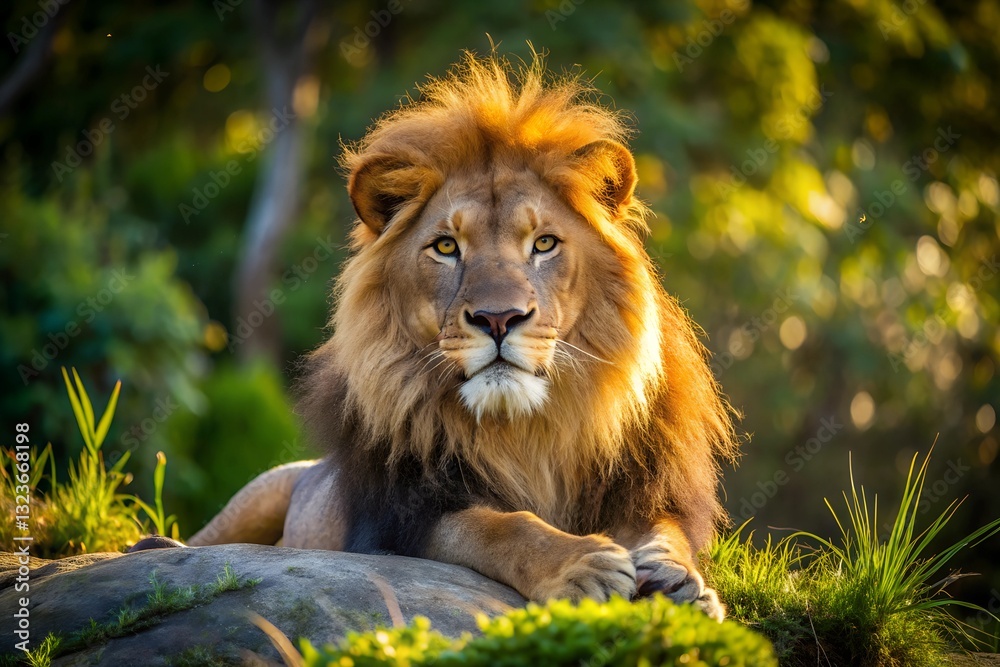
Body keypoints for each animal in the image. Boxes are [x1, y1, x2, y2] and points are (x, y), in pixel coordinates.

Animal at [185, 53, 739, 620]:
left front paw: (678, 582)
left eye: (544, 243)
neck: (525, 431)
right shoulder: (403, 521)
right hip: (263, 490)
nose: (499, 318)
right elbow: (497, 526)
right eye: (447, 247)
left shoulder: (644, 489)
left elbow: (663, 531)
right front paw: (582, 564)